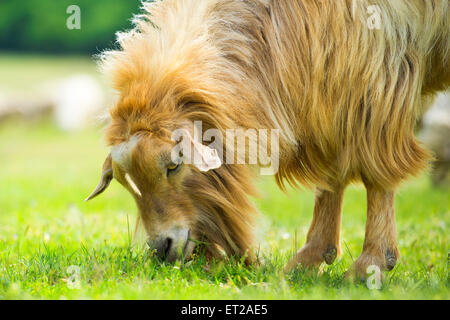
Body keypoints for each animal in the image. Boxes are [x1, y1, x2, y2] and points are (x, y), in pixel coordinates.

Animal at [87, 0, 450, 278]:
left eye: (173, 166)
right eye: (125, 182)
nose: (162, 248)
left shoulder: (377, 75)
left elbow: (375, 173)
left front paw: (371, 264)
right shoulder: (331, 88)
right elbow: (332, 174)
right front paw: (310, 258)